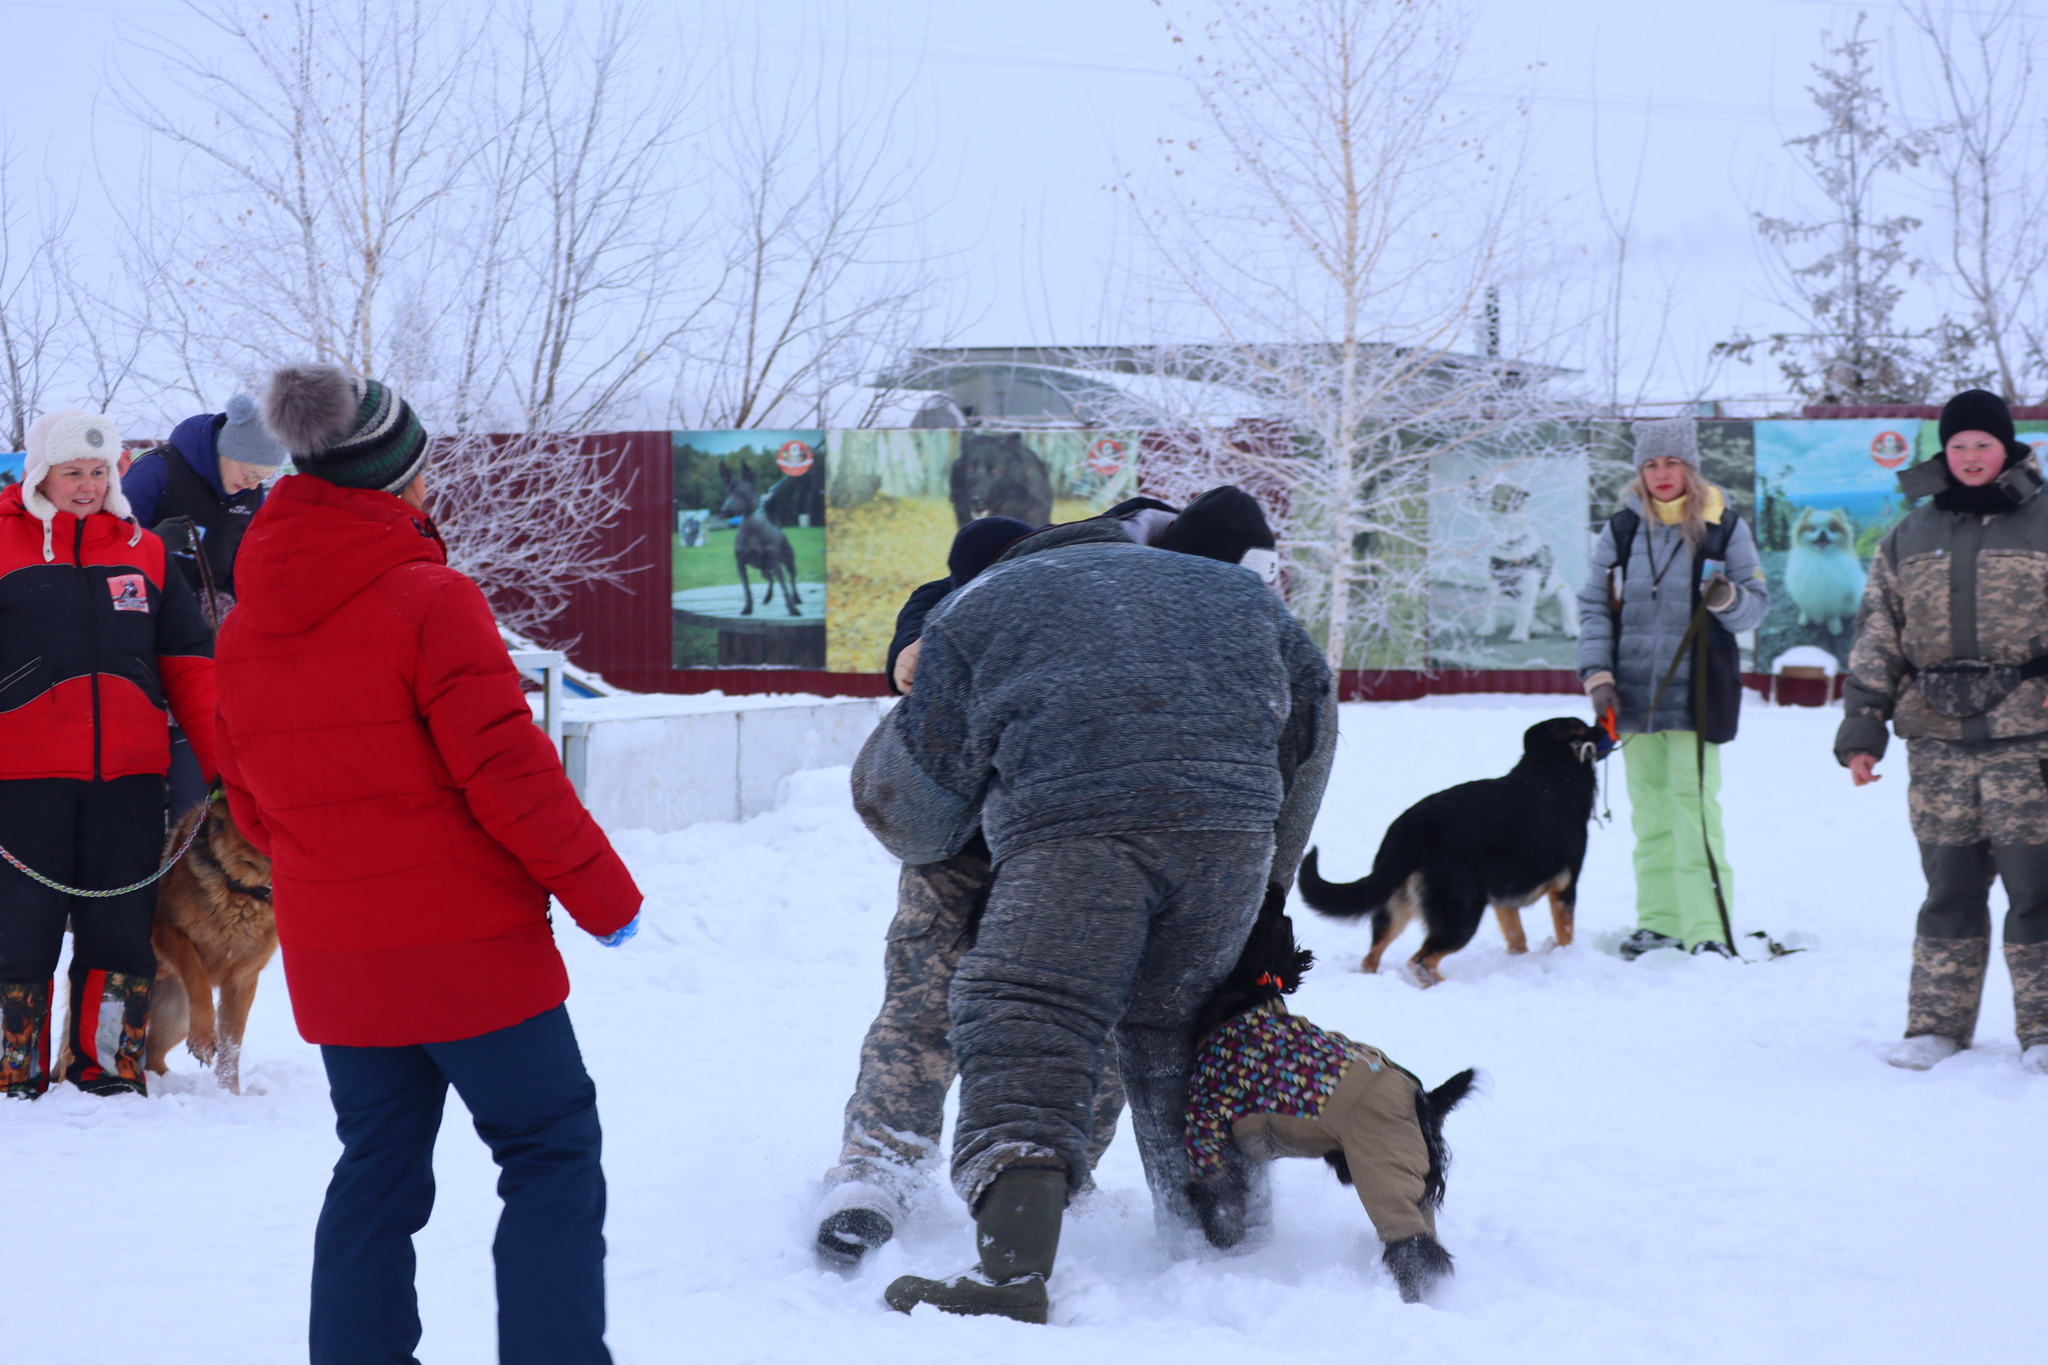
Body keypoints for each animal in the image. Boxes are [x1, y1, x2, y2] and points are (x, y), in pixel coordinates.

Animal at [144, 794, 276, 1096]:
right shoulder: (167, 930)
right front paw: (204, 1037)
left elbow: (232, 1043)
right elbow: (197, 974)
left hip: (175, 1016)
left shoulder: (242, 979)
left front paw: (229, 1094)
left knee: (152, 1055)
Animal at [1302, 716, 1605, 994]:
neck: (1551, 763)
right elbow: (1565, 934)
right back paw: (1449, 988)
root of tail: (1413, 825)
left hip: (1396, 905)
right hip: (1461, 912)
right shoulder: (1564, 889)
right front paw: (1567, 957)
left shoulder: (1503, 899)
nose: (1603, 727)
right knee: (1420, 961)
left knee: (1372, 956)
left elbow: (1517, 938)